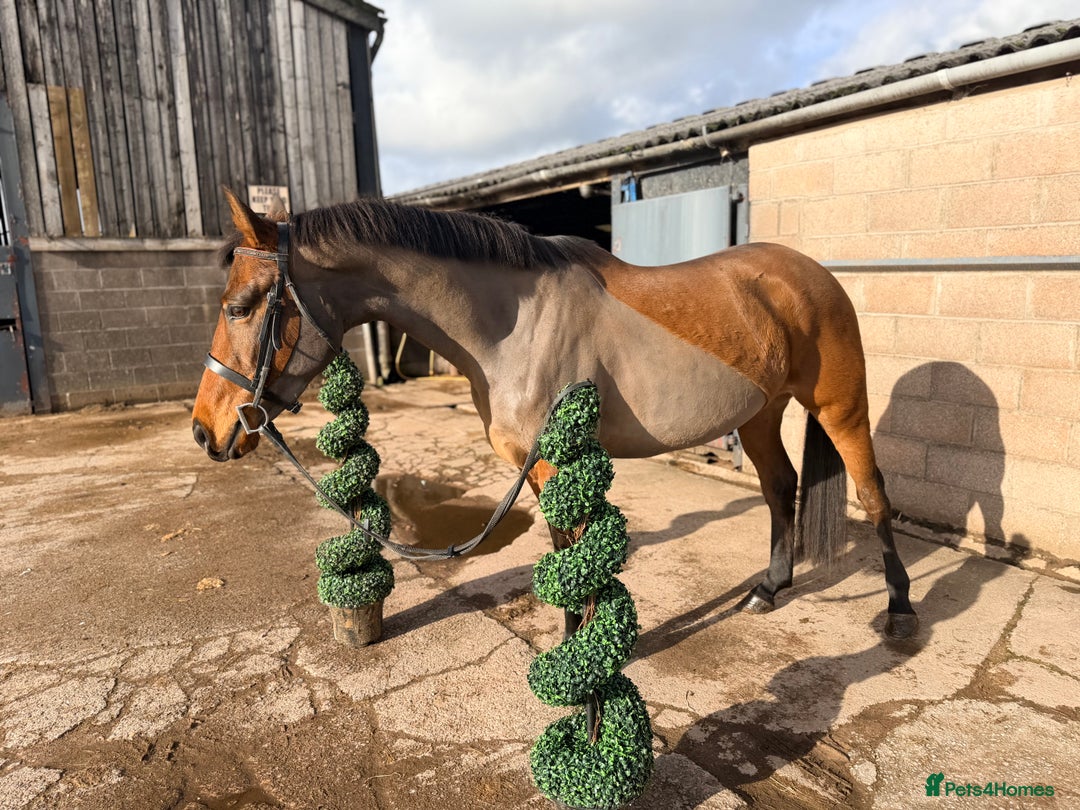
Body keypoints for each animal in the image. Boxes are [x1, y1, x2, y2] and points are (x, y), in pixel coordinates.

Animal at [192, 188, 918, 640]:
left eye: (244, 305)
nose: (206, 430)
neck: (513, 326)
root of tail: (811, 273)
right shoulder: (536, 469)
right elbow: (565, 552)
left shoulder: (554, 462)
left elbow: (573, 555)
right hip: (759, 414)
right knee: (779, 487)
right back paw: (769, 587)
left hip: (841, 405)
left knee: (874, 497)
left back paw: (901, 610)